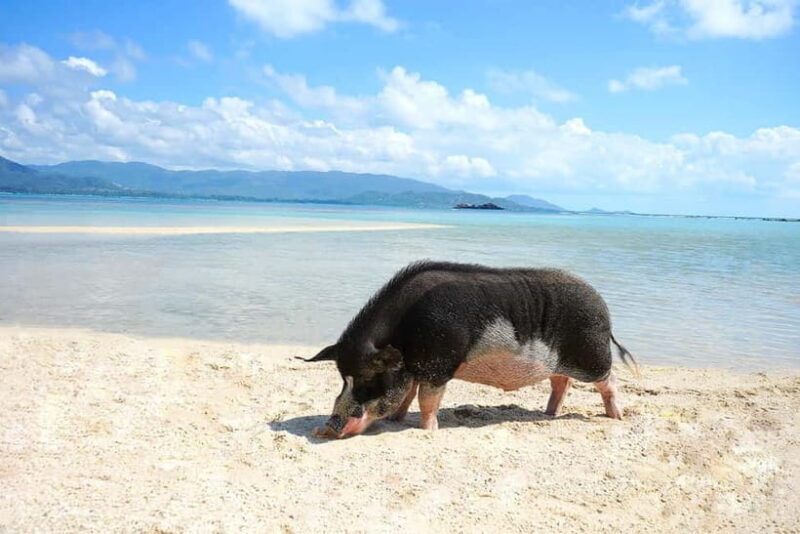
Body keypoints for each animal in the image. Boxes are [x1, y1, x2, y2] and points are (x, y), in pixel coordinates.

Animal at [299, 261, 637, 439]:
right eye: (343, 379)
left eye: (369, 378)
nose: (328, 427)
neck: (404, 333)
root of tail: (605, 311)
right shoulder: (416, 368)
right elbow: (407, 395)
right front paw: (396, 420)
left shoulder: (439, 365)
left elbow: (427, 400)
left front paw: (429, 431)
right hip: (557, 363)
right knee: (560, 382)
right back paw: (548, 414)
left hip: (592, 355)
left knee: (609, 381)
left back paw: (617, 417)